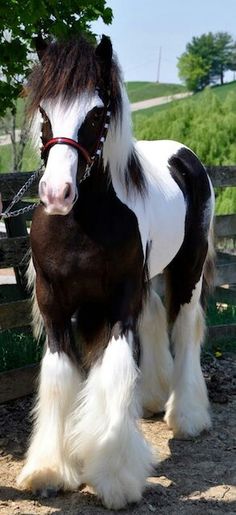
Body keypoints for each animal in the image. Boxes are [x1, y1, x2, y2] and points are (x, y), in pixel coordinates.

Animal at [17, 34, 215, 510]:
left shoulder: (119, 305)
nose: (56, 193)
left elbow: (116, 373)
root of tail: (185, 157)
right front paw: (50, 470)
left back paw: (187, 416)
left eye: (95, 112)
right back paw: (154, 399)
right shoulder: (55, 306)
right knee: (157, 319)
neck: (82, 223)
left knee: (184, 330)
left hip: (187, 271)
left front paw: (116, 477)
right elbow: (58, 379)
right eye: (45, 111)